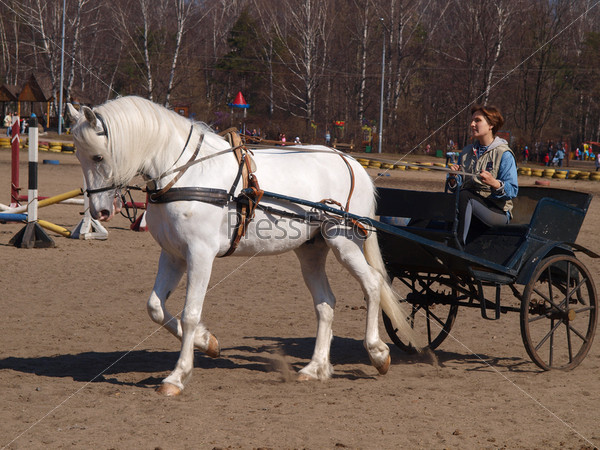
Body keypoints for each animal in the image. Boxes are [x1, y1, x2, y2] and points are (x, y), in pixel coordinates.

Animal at [64, 96, 412, 396]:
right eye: (79, 156)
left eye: (98, 156)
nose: (99, 211)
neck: (186, 173)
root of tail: (349, 160)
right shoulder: (174, 255)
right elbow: (155, 307)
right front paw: (207, 342)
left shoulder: (200, 254)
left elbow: (190, 313)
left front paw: (178, 375)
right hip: (311, 249)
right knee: (325, 303)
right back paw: (315, 368)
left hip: (344, 242)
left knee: (372, 284)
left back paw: (377, 353)